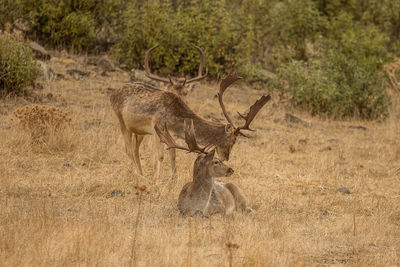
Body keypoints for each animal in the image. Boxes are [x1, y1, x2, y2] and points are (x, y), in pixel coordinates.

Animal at [111, 71, 270, 180]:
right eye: (233, 141)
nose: (226, 157)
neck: (173, 117)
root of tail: (112, 94)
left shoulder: (169, 134)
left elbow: (173, 154)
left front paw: (174, 179)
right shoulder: (157, 128)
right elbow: (160, 155)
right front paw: (156, 179)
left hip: (138, 131)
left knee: (135, 150)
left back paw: (141, 174)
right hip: (121, 121)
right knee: (128, 150)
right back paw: (138, 175)